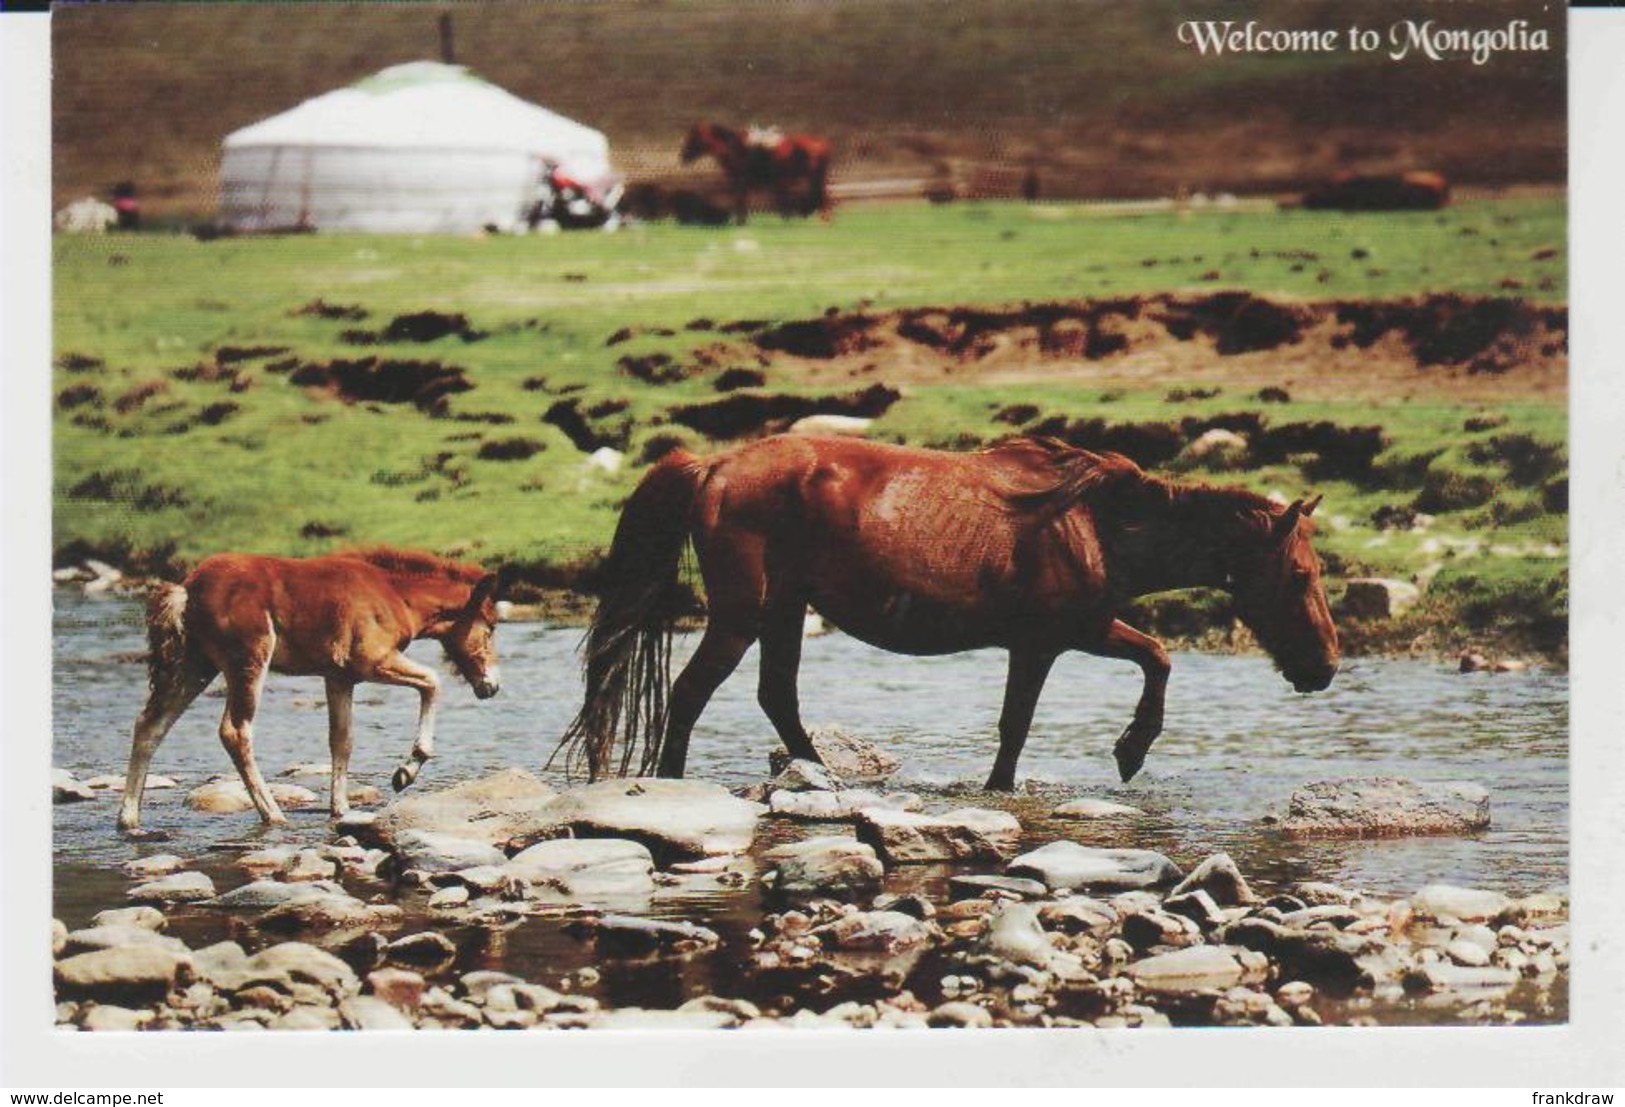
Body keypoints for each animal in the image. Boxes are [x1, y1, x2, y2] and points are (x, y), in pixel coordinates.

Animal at [118, 542, 500, 829]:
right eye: (491, 626)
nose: (491, 685)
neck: (395, 595)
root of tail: (186, 589)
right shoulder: (373, 662)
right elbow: (433, 683)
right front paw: (406, 771)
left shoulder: (340, 677)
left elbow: (342, 740)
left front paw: (341, 808)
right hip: (248, 661)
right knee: (235, 731)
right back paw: (273, 814)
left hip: (196, 667)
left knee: (150, 725)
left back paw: (129, 819)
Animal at [552, 432, 1339, 786]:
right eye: (1300, 574)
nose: (1326, 666)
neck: (1095, 524)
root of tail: (714, 464)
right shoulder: (1050, 639)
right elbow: (1027, 721)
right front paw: (1125, 750)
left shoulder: (1073, 632)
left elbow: (1152, 658)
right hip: (742, 616)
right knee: (690, 693)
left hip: (783, 612)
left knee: (777, 696)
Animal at [676, 121, 832, 222]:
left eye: (693, 139)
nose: (683, 157)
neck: (736, 149)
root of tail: (822, 144)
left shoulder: (740, 182)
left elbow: (740, 202)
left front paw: (741, 222)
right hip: (813, 179)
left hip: (816, 179)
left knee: (823, 199)